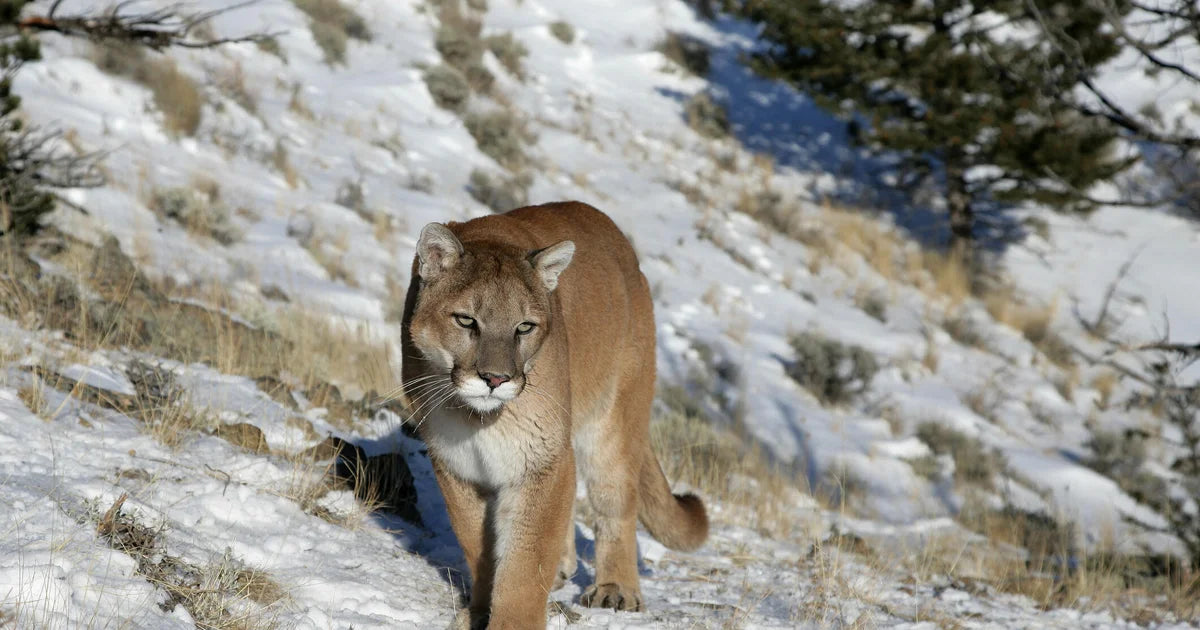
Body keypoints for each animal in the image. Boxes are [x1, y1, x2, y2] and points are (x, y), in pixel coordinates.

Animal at [399, 201, 708, 629]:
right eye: (466, 320)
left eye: (524, 327)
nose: (495, 378)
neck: (477, 420)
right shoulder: (457, 464)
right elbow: (479, 546)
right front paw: (479, 610)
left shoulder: (541, 459)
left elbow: (525, 565)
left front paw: (511, 622)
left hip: (613, 421)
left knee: (615, 501)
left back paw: (616, 590)